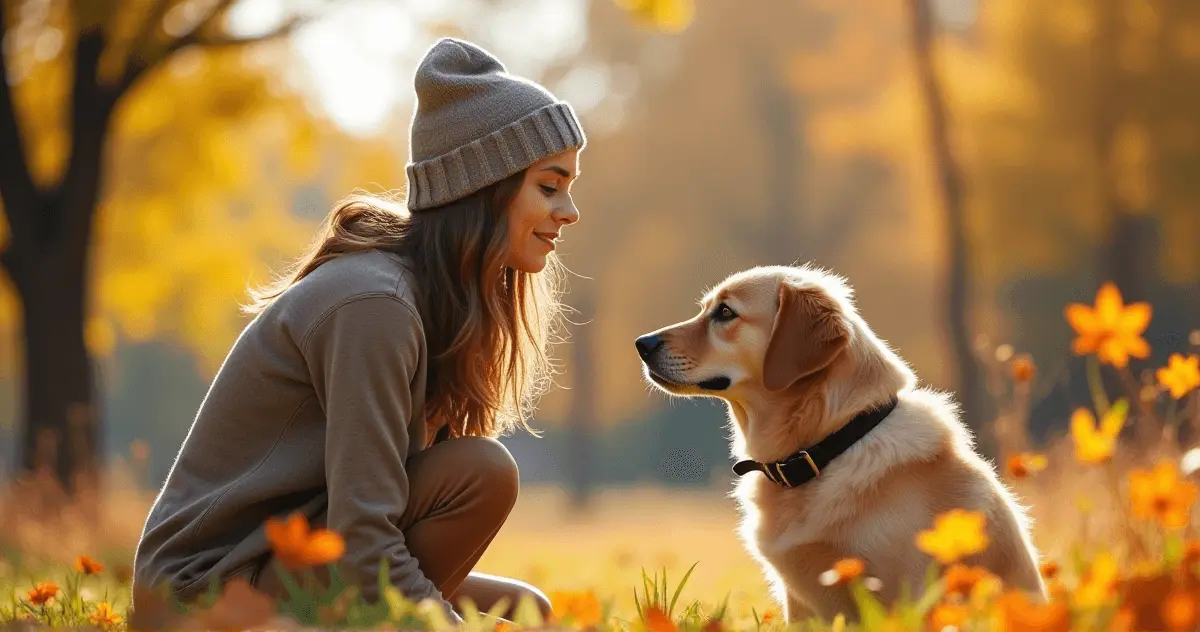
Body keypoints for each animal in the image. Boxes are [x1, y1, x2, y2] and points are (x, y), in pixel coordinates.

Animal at [638, 266, 1041, 623]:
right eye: (705, 308)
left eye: (725, 313)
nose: (642, 344)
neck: (824, 447)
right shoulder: (801, 605)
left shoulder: (903, 593)